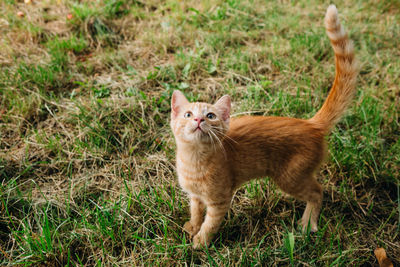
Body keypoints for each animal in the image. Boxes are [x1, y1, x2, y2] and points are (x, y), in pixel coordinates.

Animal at [170, 5, 358, 249]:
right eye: (188, 114)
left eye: (210, 115)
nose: (199, 121)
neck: (193, 160)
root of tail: (310, 124)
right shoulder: (195, 196)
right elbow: (195, 212)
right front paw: (192, 227)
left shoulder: (220, 200)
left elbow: (210, 223)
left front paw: (200, 242)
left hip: (290, 177)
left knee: (318, 191)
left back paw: (308, 223)